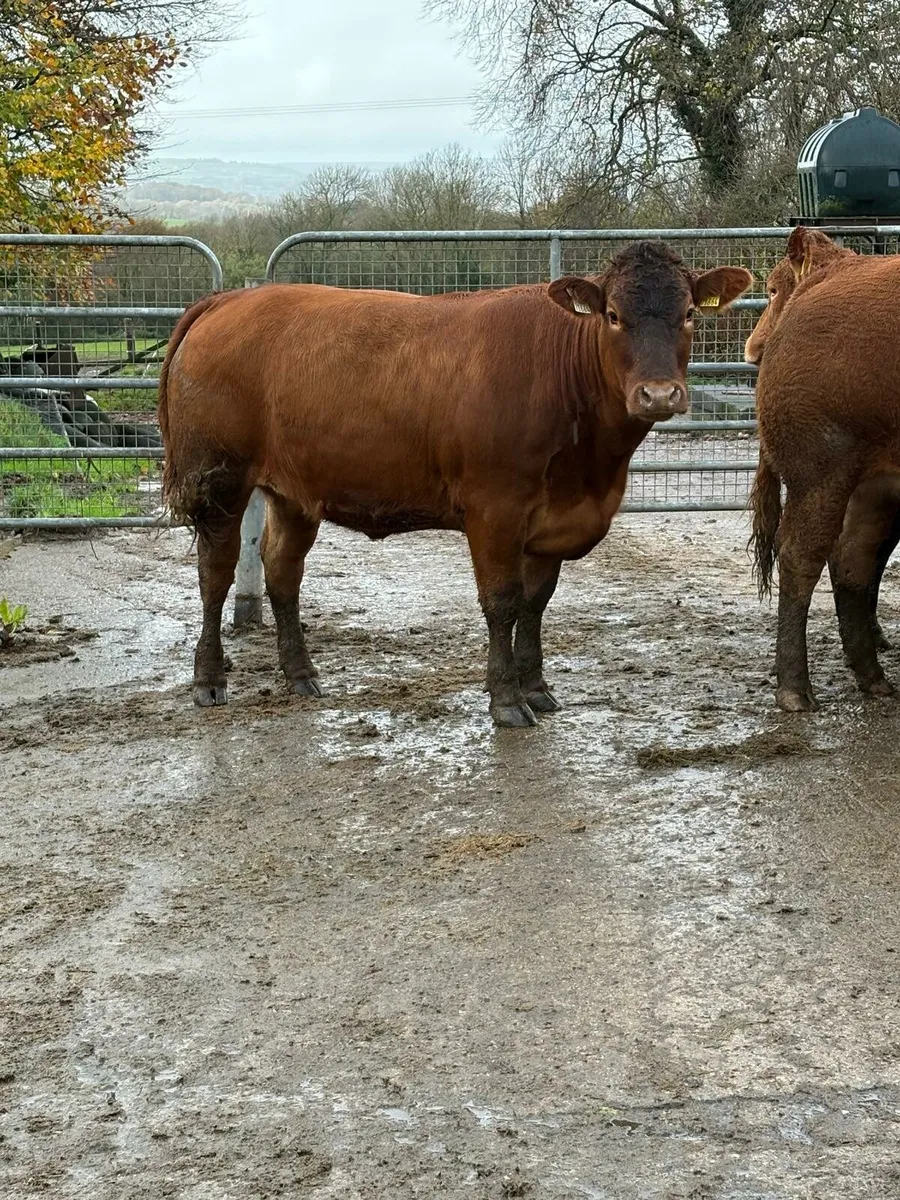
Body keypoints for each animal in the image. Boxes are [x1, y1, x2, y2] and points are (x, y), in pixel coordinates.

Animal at [159, 242, 751, 726]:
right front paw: (506, 700)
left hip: (294, 491)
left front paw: (537, 688)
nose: (659, 394)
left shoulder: (551, 522)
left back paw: (301, 675)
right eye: (612, 315)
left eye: (689, 314)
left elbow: (536, 603)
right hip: (219, 479)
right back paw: (209, 680)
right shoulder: (495, 510)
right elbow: (502, 602)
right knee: (215, 574)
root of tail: (227, 300)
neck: (590, 470)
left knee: (283, 572)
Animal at [747, 226, 900, 711]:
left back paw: (872, 676)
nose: (751, 350)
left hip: (876, 483)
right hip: (822, 470)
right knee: (803, 556)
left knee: (854, 557)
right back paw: (795, 689)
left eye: (772, 290)